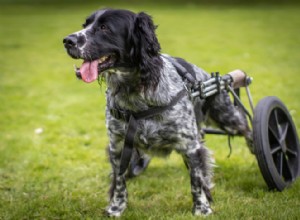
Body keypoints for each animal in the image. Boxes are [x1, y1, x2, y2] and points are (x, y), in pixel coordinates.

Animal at [63, 8, 253, 217]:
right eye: (85, 25)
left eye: (105, 27)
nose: (67, 41)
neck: (135, 94)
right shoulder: (118, 146)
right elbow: (119, 181)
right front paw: (116, 208)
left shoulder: (190, 145)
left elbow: (197, 180)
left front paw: (202, 209)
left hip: (226, 116)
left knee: (246, 127)